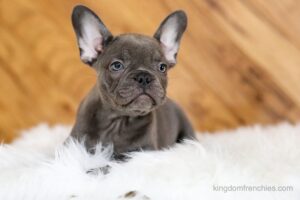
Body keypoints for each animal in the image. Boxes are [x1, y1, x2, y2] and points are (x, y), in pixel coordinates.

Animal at [69, 4, 196, 158]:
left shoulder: (144, 151)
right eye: (117, 66)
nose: (144, 77)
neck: (119, 119)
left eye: (162, 67)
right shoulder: (73, 142)